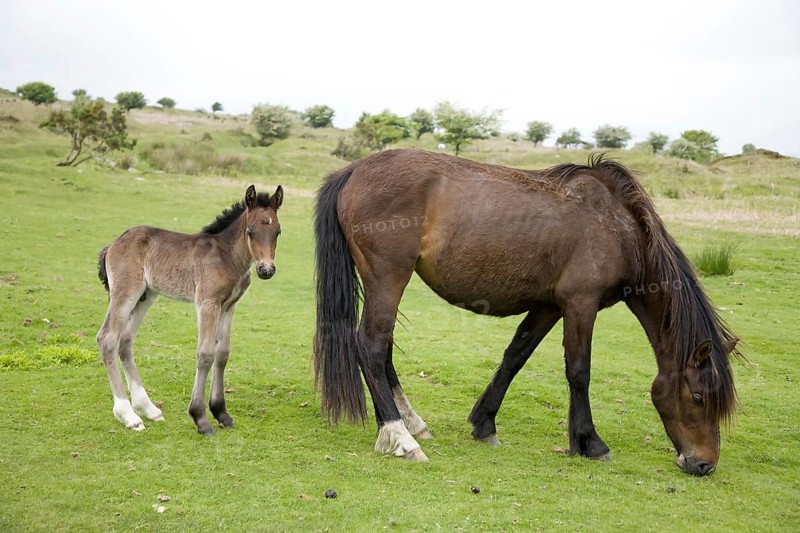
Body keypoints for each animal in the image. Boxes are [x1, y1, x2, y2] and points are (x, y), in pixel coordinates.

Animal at [96, 184, 283, 434]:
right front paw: (200, 418)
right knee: (107, 339)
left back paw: (148, 409)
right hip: (126, 292)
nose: (266, 270)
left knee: (125, 341)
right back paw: (128, 415)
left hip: (146, 296)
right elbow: (205, 354)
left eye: (278, 231)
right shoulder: (207, 303)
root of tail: (113, 244)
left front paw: (221, 413)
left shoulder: (229, 306)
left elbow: (222, 353)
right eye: (250, 231)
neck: (227, 256)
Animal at [313, 149, 740, 476]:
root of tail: (353, 170)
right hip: (388, 277)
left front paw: (485, 424)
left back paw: (412, 423)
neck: (619, 228)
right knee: (371, 346)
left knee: (383, 349)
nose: (704, 464)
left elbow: (514, 357)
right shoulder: (580, 305)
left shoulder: (548, 307)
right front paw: (590, 443)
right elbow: (579, 372)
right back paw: (400, 437)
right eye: (698, 397)